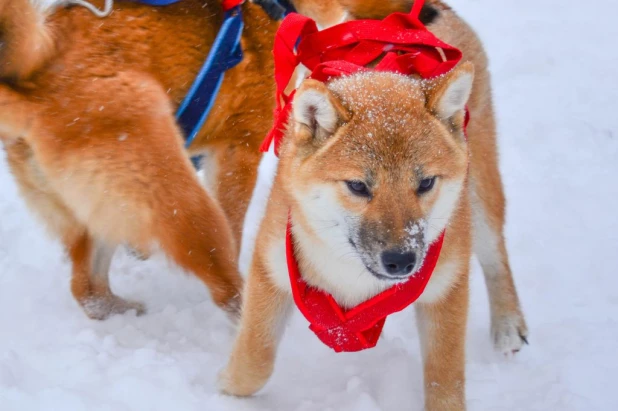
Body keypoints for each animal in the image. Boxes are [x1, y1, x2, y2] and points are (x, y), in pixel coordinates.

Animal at [219, 0, 528, 408]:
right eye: (358, 186)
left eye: (425, 183)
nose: (402, 261)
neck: (353, 278)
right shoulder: (271, 268)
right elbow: (255, 360)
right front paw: (226, 389)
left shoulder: (446, 290)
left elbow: (444, 385)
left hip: (479, 198)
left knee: (496, 258)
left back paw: (509, 325)